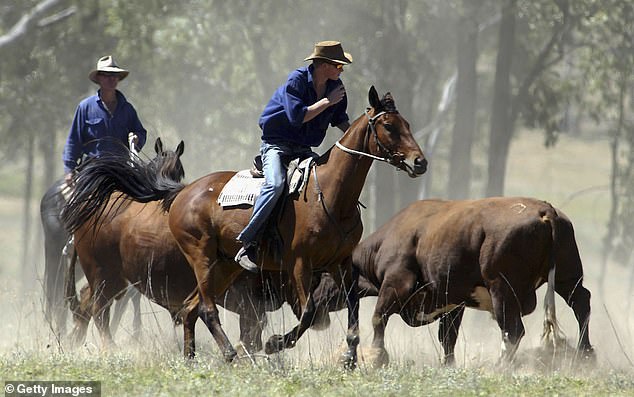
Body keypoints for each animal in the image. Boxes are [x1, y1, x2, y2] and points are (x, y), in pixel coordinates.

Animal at [61, 87, 424, 368]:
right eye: (389, 126)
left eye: (407, 123)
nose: (420, 162)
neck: (330, 194)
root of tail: (180, 193)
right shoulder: (299, 264)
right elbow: (307, 312)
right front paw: (276, 343)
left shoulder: (341, 263)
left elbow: (352, 308)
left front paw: (349, 357)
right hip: (187, 262)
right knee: (200, 308)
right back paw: (228, 353)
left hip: (223, 266)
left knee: (189, 308)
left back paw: (190, 358)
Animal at [350, 196, 592, 366]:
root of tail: (545, 210)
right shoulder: (452, 302)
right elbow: (448, 337)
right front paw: (448, 365)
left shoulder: (396, 282)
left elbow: (378, 318)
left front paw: (376, 356)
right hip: (567, 276)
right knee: (581, 303)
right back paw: (586, 354)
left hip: (502, 288)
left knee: (513, 329)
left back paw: (501, 365)